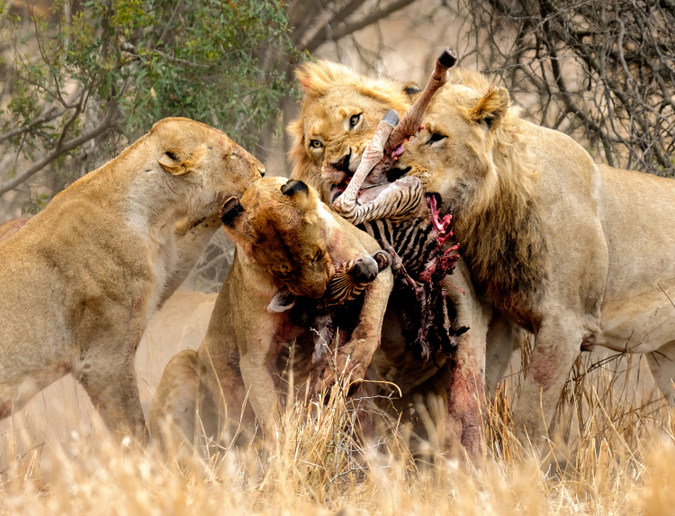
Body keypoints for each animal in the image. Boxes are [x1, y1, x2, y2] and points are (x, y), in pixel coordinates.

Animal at [380, 68, 675, 444]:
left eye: (437, 137)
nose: (392, 171)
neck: (495, 207)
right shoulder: (502, 318)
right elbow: (480, 387)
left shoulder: (567, 323)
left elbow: (530, 416)